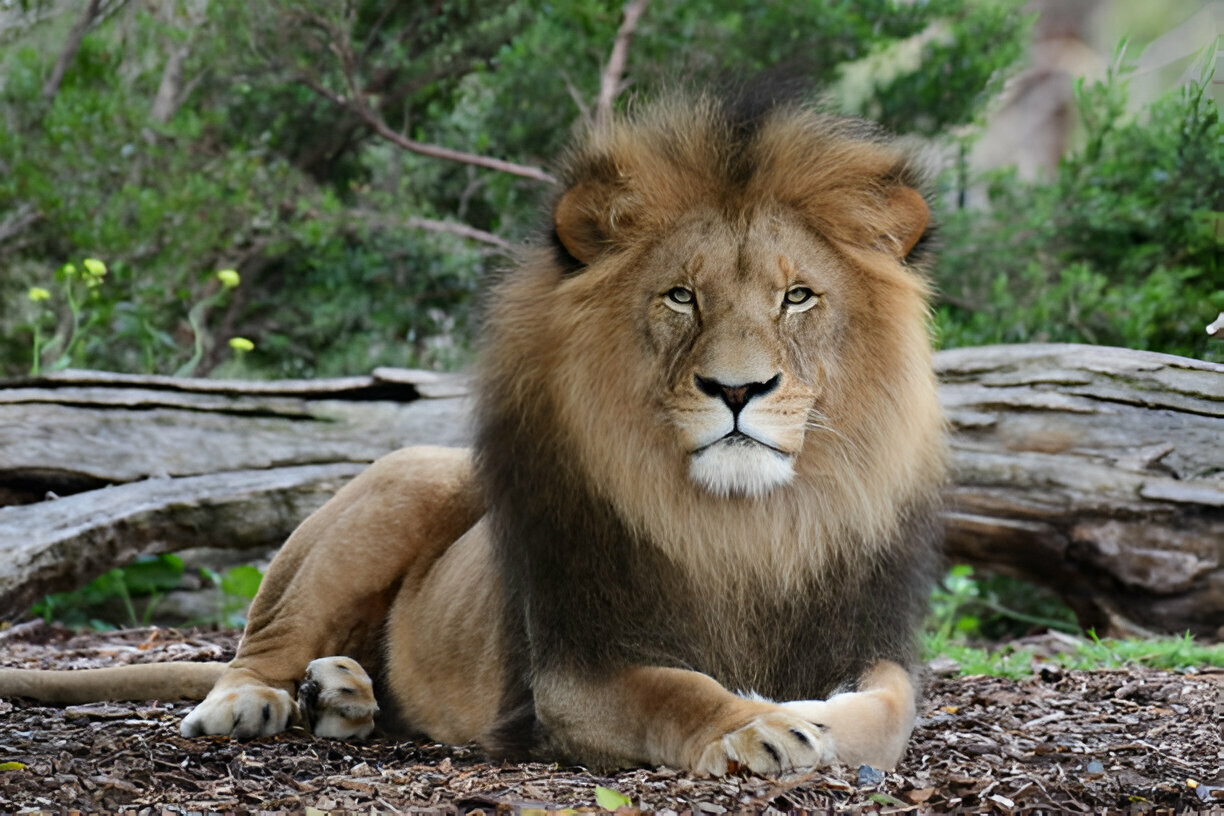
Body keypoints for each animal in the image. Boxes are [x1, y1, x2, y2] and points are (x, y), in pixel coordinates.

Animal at [0, 93, 945, 776]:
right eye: (682, 296)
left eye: (798, 296)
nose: (738, 388)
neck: (748, 524)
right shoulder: (573, 669)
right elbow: (676, 692)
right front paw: (759, 726)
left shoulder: (870, 642)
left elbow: (887, 712)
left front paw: (807, 711)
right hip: (403, 485)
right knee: (260, 643)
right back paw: (255, 701)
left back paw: (340, 694)